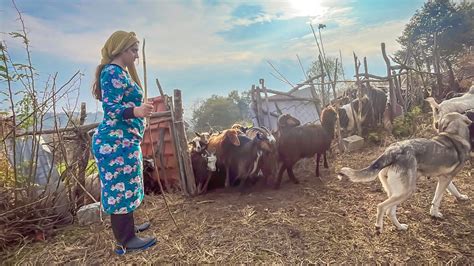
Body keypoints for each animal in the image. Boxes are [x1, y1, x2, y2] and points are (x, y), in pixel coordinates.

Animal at [336, 112, 470, 233]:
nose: (435, 123)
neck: (454, 135)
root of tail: (393, 151)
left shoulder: (444, 178)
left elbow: (452, 190)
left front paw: (460, 197)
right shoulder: (446, 178)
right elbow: (437, 199)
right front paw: (435, 213)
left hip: (395, 192)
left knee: (390, 211)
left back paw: (399, 227)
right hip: (406, 191)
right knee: (381, 206)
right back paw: (379, 227)